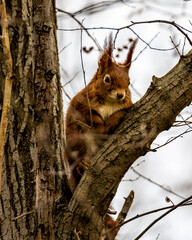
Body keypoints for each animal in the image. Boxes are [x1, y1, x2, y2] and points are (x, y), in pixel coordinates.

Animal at [64, 34, 136, 239]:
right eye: (107, 79)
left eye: (129, 82)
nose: (120, 95)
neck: (110, 103)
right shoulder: (81, 106)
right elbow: (95, 120)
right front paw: (106, 121)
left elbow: (122, 112)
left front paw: (117, 116)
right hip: (78, 143)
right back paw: (82, 165)